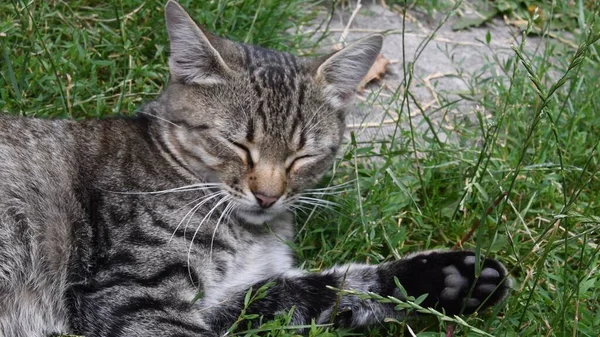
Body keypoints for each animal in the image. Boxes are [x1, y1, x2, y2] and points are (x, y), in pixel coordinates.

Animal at [0, 1, 510, 334]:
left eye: (302, 155)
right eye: (238, 145)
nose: (268, 194)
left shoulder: (229, 300)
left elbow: (324, 289)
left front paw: (443, 279)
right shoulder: (130, 293)